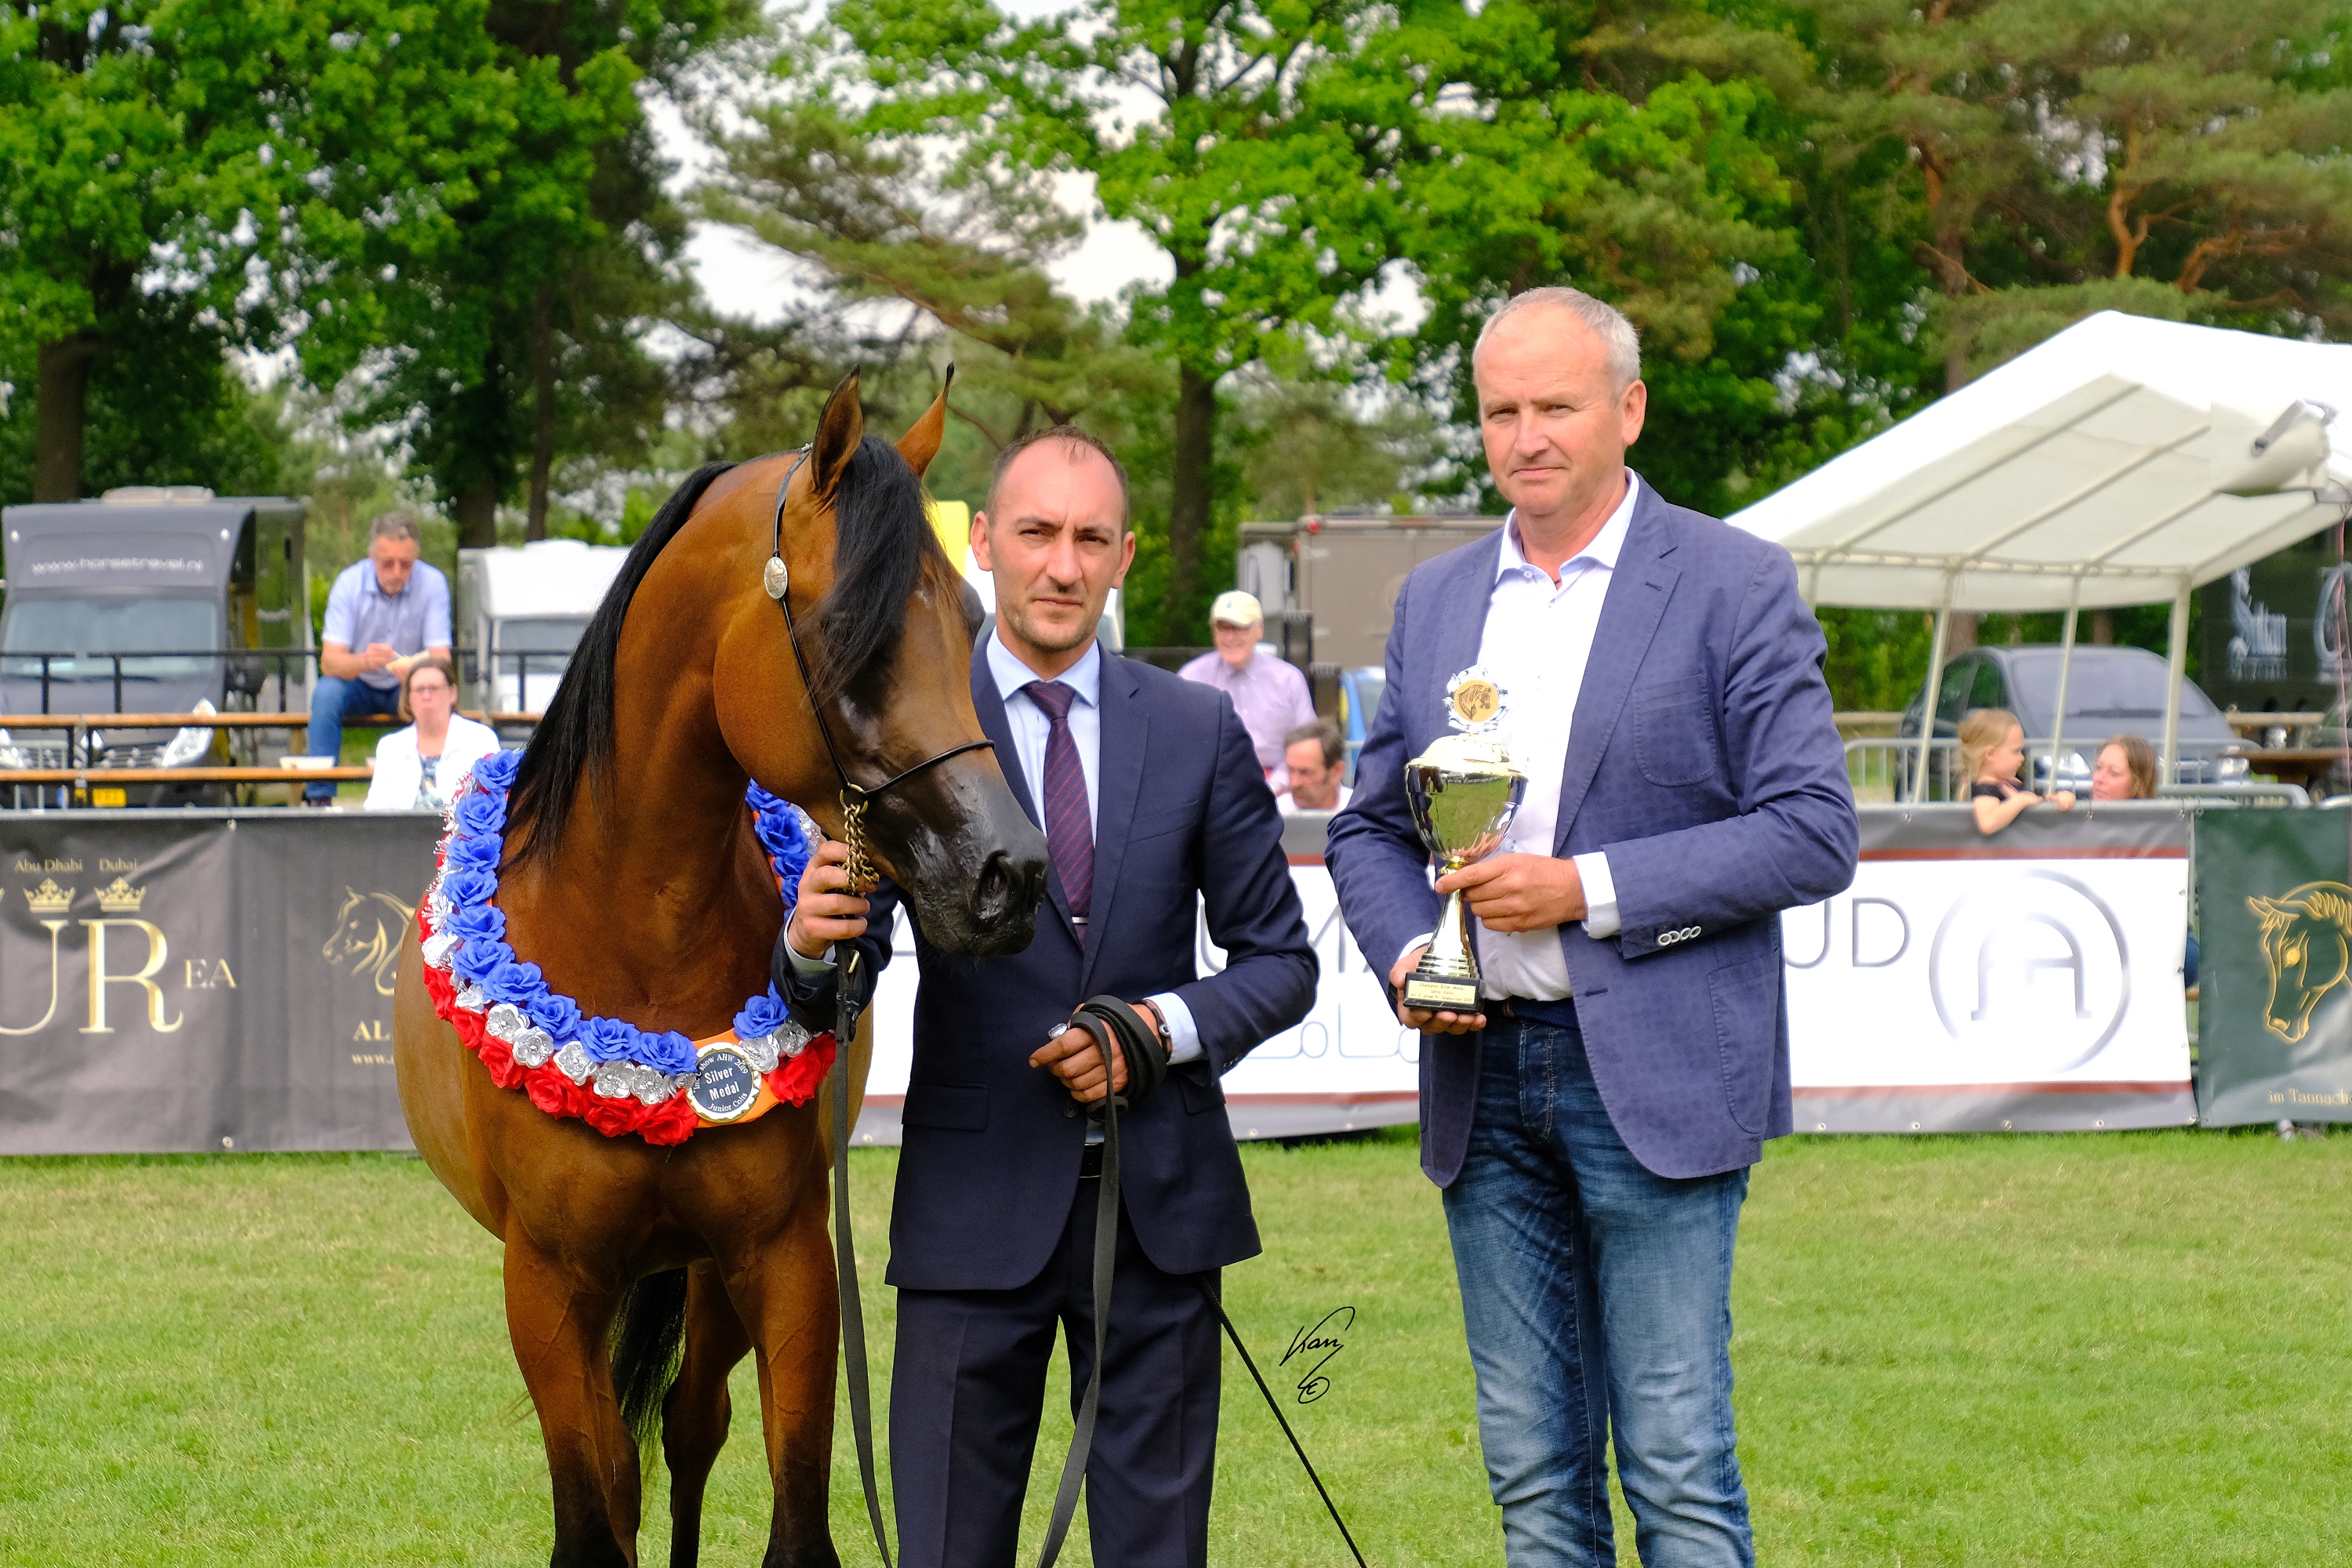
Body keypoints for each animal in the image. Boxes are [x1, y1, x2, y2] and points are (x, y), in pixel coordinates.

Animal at [392, 372, 1050, 1568]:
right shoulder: (546, 1287)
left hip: (704, 1278)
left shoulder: (787, 1265)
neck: (635, 936)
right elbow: (592, 1513)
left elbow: (791, 1516)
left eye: (974, 621)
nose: (1009, 873)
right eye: (850, 636)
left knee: (693, 1425)